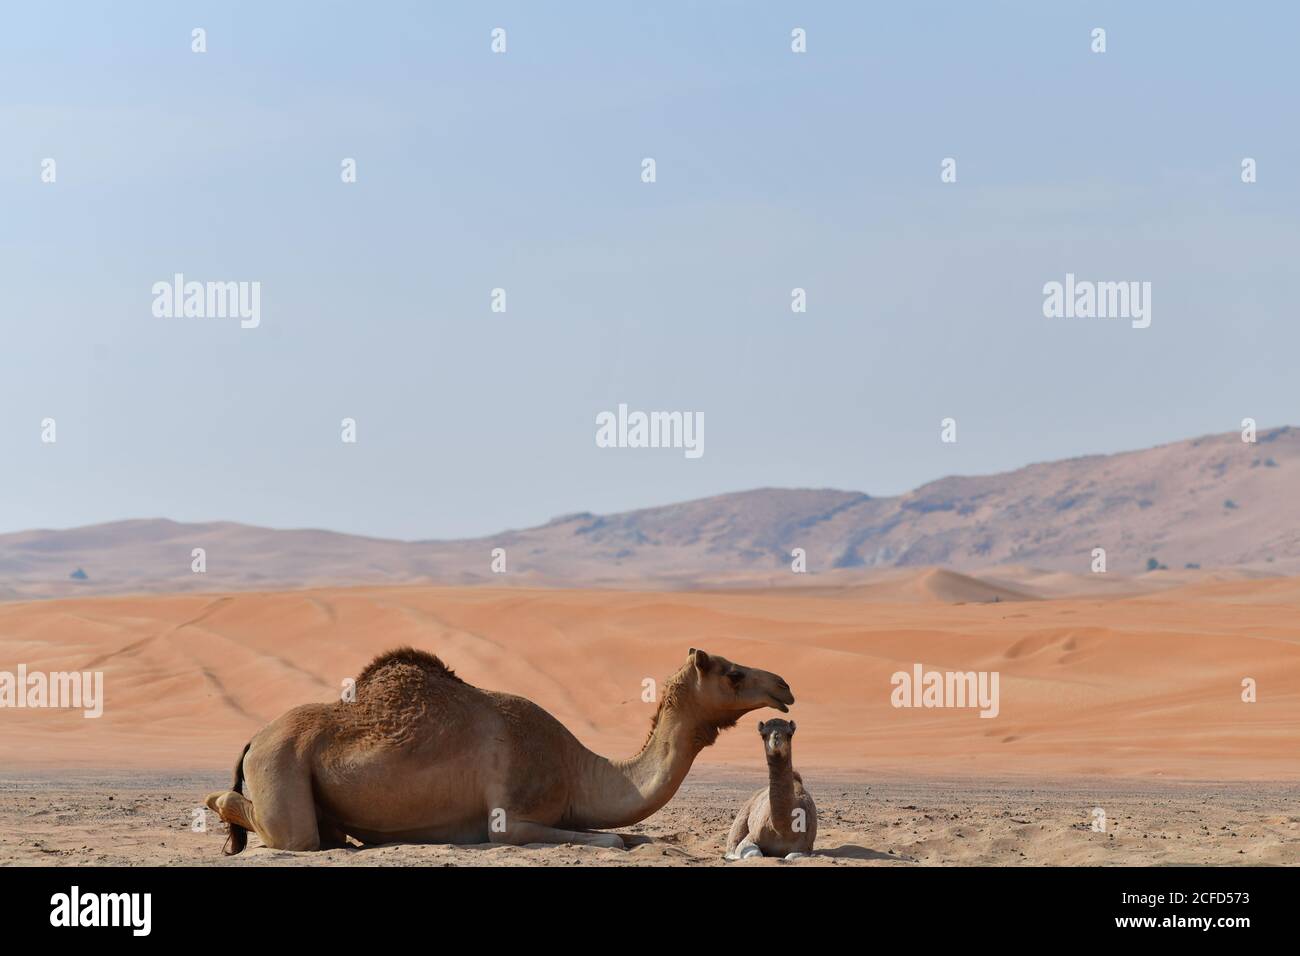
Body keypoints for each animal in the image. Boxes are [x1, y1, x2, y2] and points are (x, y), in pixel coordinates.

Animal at [205, 646, 793, 853]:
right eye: (733, 674)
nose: (784, 686)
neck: (577, 768)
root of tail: (254, 737)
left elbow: (633, 834)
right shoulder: (510, 817)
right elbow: (611, 840)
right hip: (281, 766)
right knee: (289, 833)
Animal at [724, 718, 817, 860]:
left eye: (790, 734)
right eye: (763, 735)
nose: (776, 739)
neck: (782, 830)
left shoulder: (805, 847)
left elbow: (791, 856)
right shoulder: (751, 838)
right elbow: (754, 852)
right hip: (742, 816)